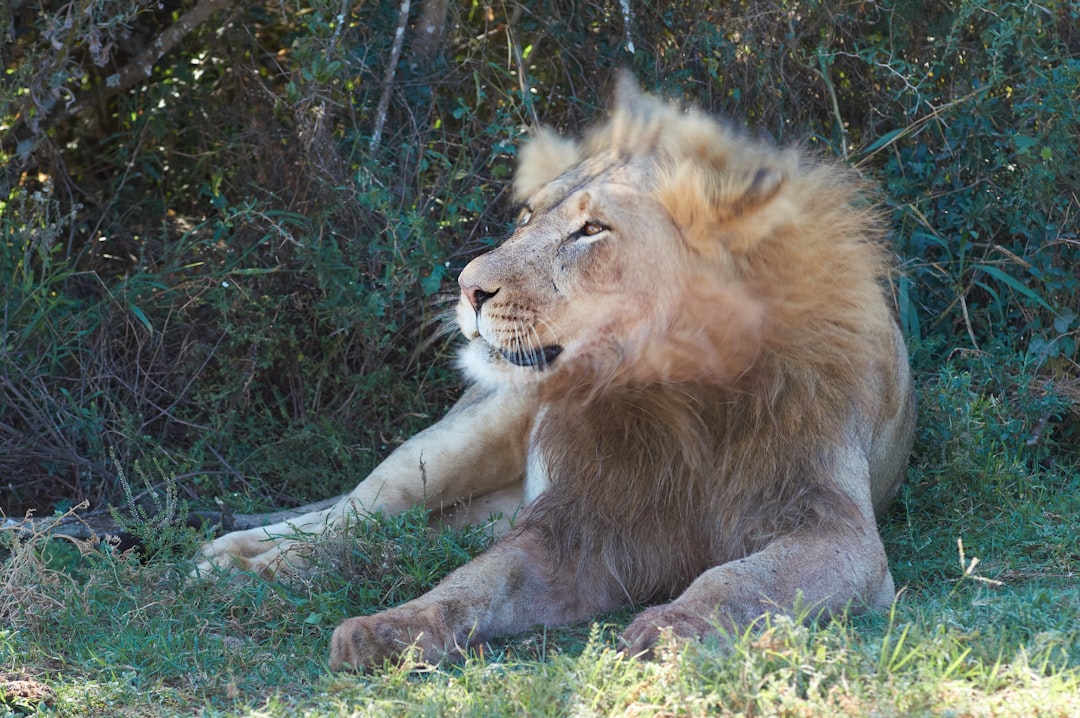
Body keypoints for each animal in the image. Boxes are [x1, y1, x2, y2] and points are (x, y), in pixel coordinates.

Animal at [194, 75, 911, 669]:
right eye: (526, 216)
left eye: (592, 229)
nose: (466, 287)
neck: (682, 395)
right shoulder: (581, 526)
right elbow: (477, 580)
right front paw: (388, 628)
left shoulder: (834, 528)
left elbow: (737, 579)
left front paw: (671, 628)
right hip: (459, 439)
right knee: (354, 516)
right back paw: (237, 563)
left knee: (398, 536)